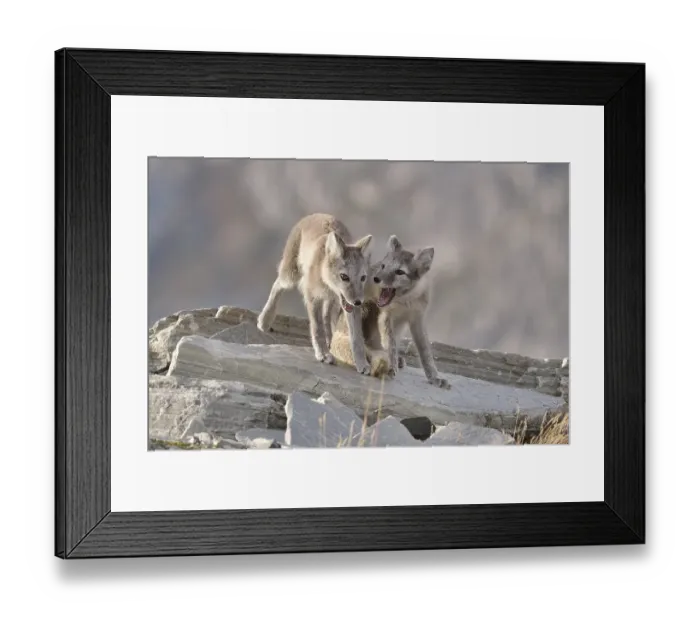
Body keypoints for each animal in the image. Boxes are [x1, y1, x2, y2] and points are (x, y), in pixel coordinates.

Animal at [257, 213, 374, 374]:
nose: (358, 302)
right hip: (290, 277)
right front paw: (323, 354)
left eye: (363, 278)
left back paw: (330, 340)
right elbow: (317, 329)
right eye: (344, 277)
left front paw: (362, 364)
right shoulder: (313, 298)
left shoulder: (348, 306)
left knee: (326, 317)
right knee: (276, 285)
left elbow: (356, 338)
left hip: (332, 302)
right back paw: (265, 320)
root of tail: (314, 215)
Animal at [330, 234, 450, 389]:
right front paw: (392, 367)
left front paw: (435, 377)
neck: (406, 301)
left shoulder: (417, 319)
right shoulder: (385, 317)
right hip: (364, 309)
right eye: (383, 266)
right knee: (364, 345)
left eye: (400, 272)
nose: (376, 278)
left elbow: (426, 353)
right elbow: (390, 345)